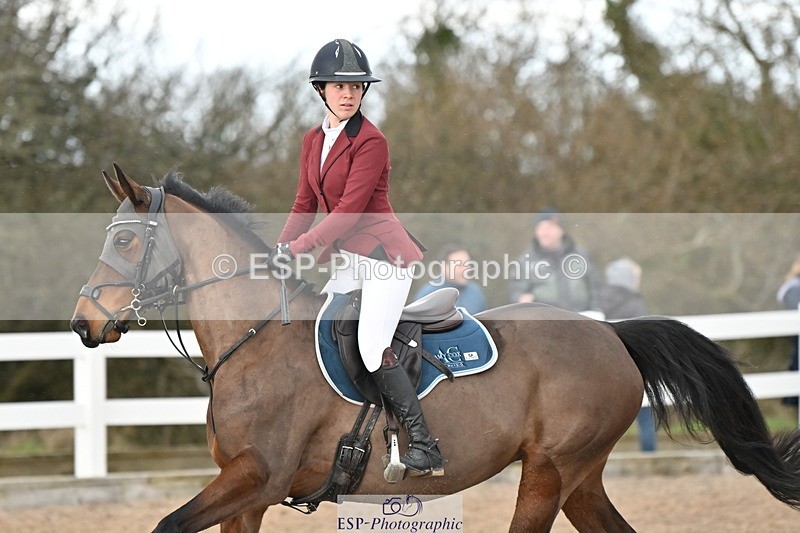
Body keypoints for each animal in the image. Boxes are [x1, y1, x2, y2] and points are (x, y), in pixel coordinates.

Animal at [70, 164, 800, 532]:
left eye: (126, 240)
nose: (83, 324)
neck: (255, 342)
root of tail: (610, 332)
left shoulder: (257, 477)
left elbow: (166, 524)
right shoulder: (245, 494)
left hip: (551, 471)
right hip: (580, 476)